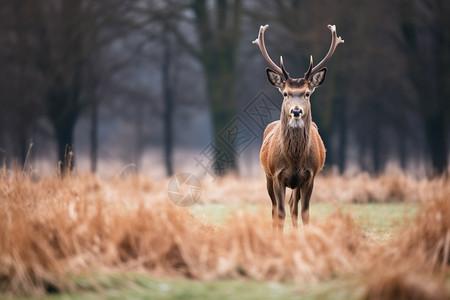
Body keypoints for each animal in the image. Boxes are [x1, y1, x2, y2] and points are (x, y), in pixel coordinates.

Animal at [253, 25, 344, 232]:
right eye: (286, 93)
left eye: (307, 93)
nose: (296, 111)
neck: (294, 159)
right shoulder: (277, 174)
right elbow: (279, 213)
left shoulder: (310, 176)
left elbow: (305, 213)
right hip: (267, 176)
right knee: (274, 208)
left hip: (296, 184)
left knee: (293, 206)